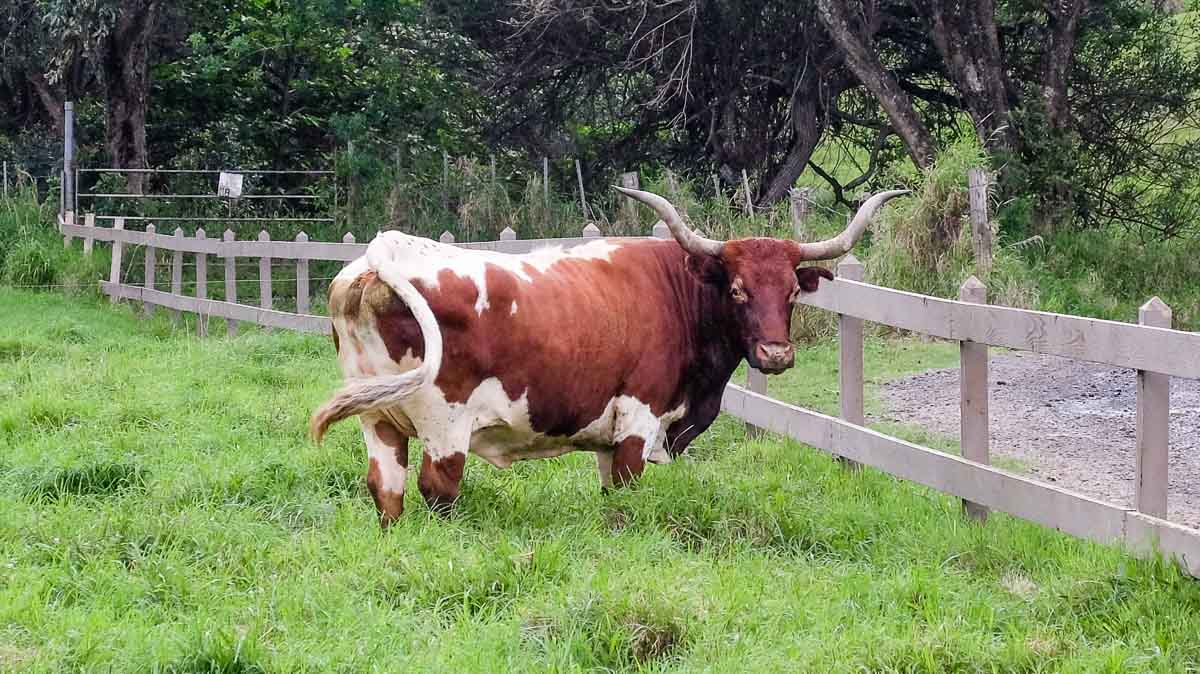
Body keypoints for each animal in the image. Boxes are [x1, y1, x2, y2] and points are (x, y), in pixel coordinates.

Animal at [309, 185, 902, 522]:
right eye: (737, 290)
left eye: (793, 290)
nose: (776, 354)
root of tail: (380, 257)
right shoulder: (638, 420)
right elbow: (625, 496)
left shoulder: (607, 432)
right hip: (444, 425)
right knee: (438, 490)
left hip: (377, 419)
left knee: (387, 492)